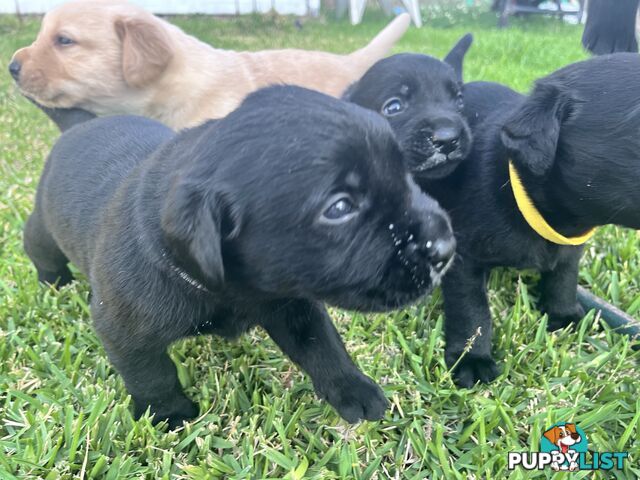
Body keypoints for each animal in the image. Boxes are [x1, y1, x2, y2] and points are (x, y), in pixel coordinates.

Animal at [23, 86, 456, 428]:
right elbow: (152, 374)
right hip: (44, 228)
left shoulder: (293, 304)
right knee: (38, 246)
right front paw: (169, 414)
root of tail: (77, 126)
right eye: (339, 208)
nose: (446, 248)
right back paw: (53, 281)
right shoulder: (124, 330)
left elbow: (323, 346)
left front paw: (353, 389)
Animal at [348, 51, 640, 386]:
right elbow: (473, 310)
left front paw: (564, 315)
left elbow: (563, 277)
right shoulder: (464, 261)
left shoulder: (570, 247)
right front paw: (472, 359)